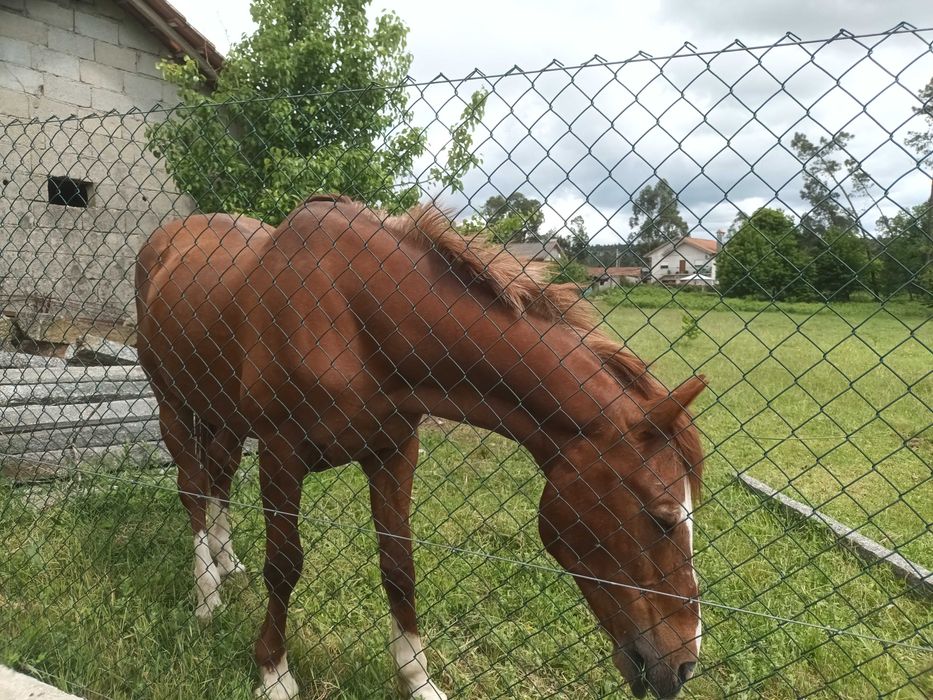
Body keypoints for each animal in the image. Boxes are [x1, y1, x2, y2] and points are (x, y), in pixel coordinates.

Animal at [135, 195, 706, 700]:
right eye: (661, 517)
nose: (682, 664)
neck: (351, 312)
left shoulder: (394, 453)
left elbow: (398, 565)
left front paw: (418, 680)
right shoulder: (281, 455)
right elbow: (284, 566)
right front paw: (274, 673)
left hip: (224, 418)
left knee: (219, 478)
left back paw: (225, 561)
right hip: (173, 405)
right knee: (193, 490)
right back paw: (207, 592)